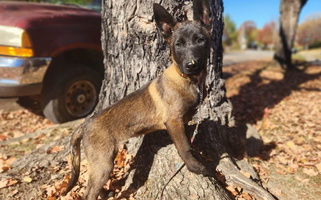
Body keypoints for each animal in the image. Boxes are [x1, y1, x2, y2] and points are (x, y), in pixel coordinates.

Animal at [63, 0, 211, 199]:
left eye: (200, 40)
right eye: (178, 44)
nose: (191, 65)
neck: (188, 80)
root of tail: (85, 124)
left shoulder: (183, 121)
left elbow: (188, 140)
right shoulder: (173, 121)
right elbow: (184, 147)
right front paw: (194, 166)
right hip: (103, 163)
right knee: (89, 193)